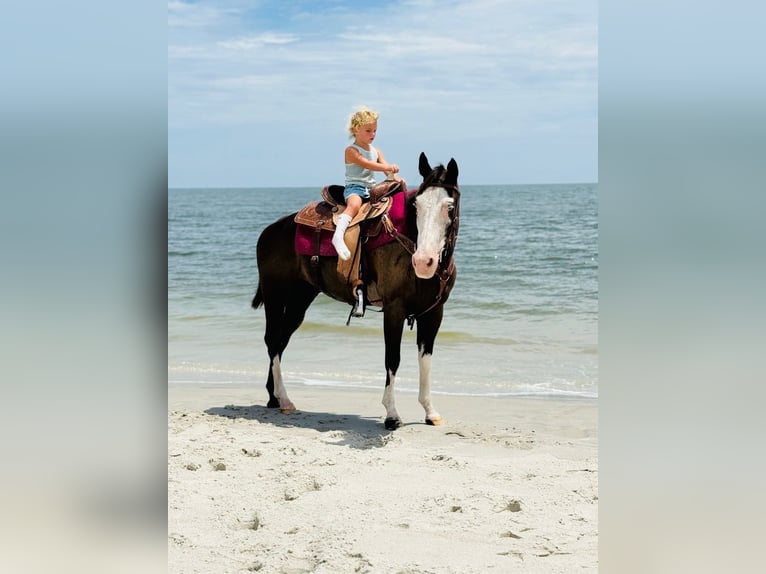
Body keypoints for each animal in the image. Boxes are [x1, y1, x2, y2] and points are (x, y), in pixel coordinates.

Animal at [251, 152, 460, 430]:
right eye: (416, 206)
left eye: (449, 207)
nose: (423, 261)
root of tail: (269, 231)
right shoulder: (394, 310)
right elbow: (392, 359)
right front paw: (392, 414)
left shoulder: (434, 312)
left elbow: (425, 361)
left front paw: (430, 411)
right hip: (275, 295)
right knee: (273, 340)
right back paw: (283, 398)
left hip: (300, 299)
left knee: (281, 341)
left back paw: (274, 397)